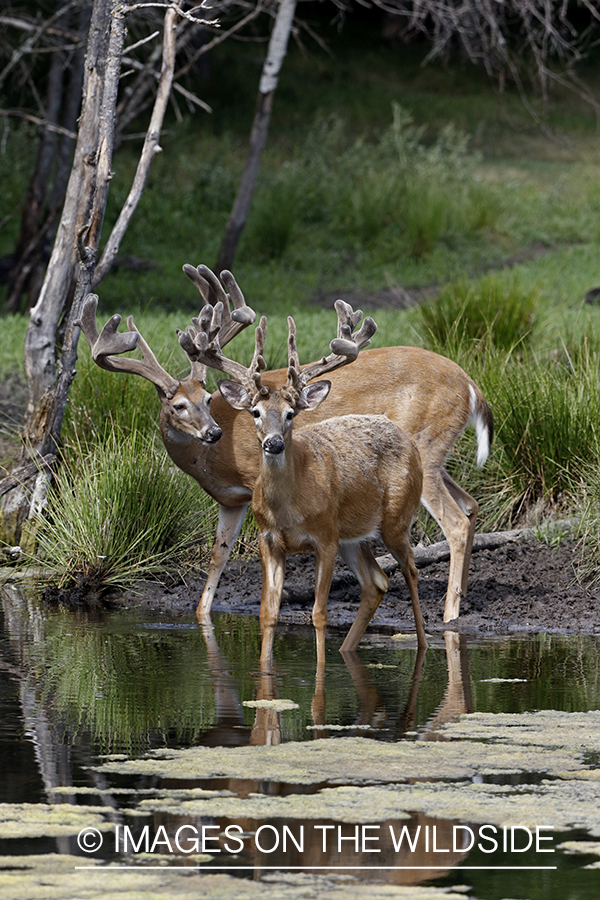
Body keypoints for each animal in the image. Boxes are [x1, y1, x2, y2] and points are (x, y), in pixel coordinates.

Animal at [81, 264, 492, 624]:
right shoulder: (230, 500)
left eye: (207, 399)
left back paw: (450, 613)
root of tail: (472, 386)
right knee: (470, 505)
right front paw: (201, 614)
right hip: (433, 454)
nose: (213, 432)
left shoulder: (254, 481)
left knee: (455, 522)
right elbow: (218, 556)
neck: (212, 460)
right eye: (178, 405)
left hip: (426, 447)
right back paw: (464, 596)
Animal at [191, 302, 426, 668]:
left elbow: (319, 613)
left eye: (291, 414)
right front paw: (266, 671)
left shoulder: (325, 537)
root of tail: (407, 438)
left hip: (397, 518)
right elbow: (268, 612)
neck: (289, 508)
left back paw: (422, 646)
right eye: (255, 412)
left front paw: (319, 673)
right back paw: (347, 650)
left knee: (412, 572)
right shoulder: (268, 538)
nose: (274, 443)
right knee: (377, 581)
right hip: (353, 537)